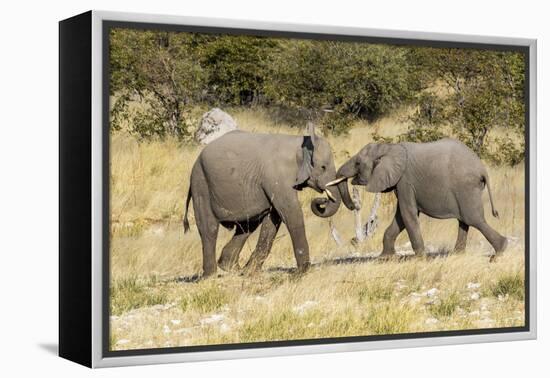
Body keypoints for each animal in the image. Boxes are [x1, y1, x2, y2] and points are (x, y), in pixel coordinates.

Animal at [183, 122, 356, 276]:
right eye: (323, 167)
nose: (321, 200)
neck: (300, 143)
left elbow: (273, 220)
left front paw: (251, 273)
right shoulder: (277, 176)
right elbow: (291, 214)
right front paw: (302, 272)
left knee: (246, 226)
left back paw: (233, 269)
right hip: (201, 183)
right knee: (209, 228)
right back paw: (211, 275)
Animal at [330, 137, 512, 258]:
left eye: (358, 164)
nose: (353, 205)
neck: (389, 148)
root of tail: (482, 169)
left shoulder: (405, 181)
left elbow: (408, 214)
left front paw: (420, 258)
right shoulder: (401, 184)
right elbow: (400, 217)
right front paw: (385, 258)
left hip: (465, 187)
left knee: (473, 219)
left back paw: (499, 252)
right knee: (465, 220)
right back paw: (457, 254)